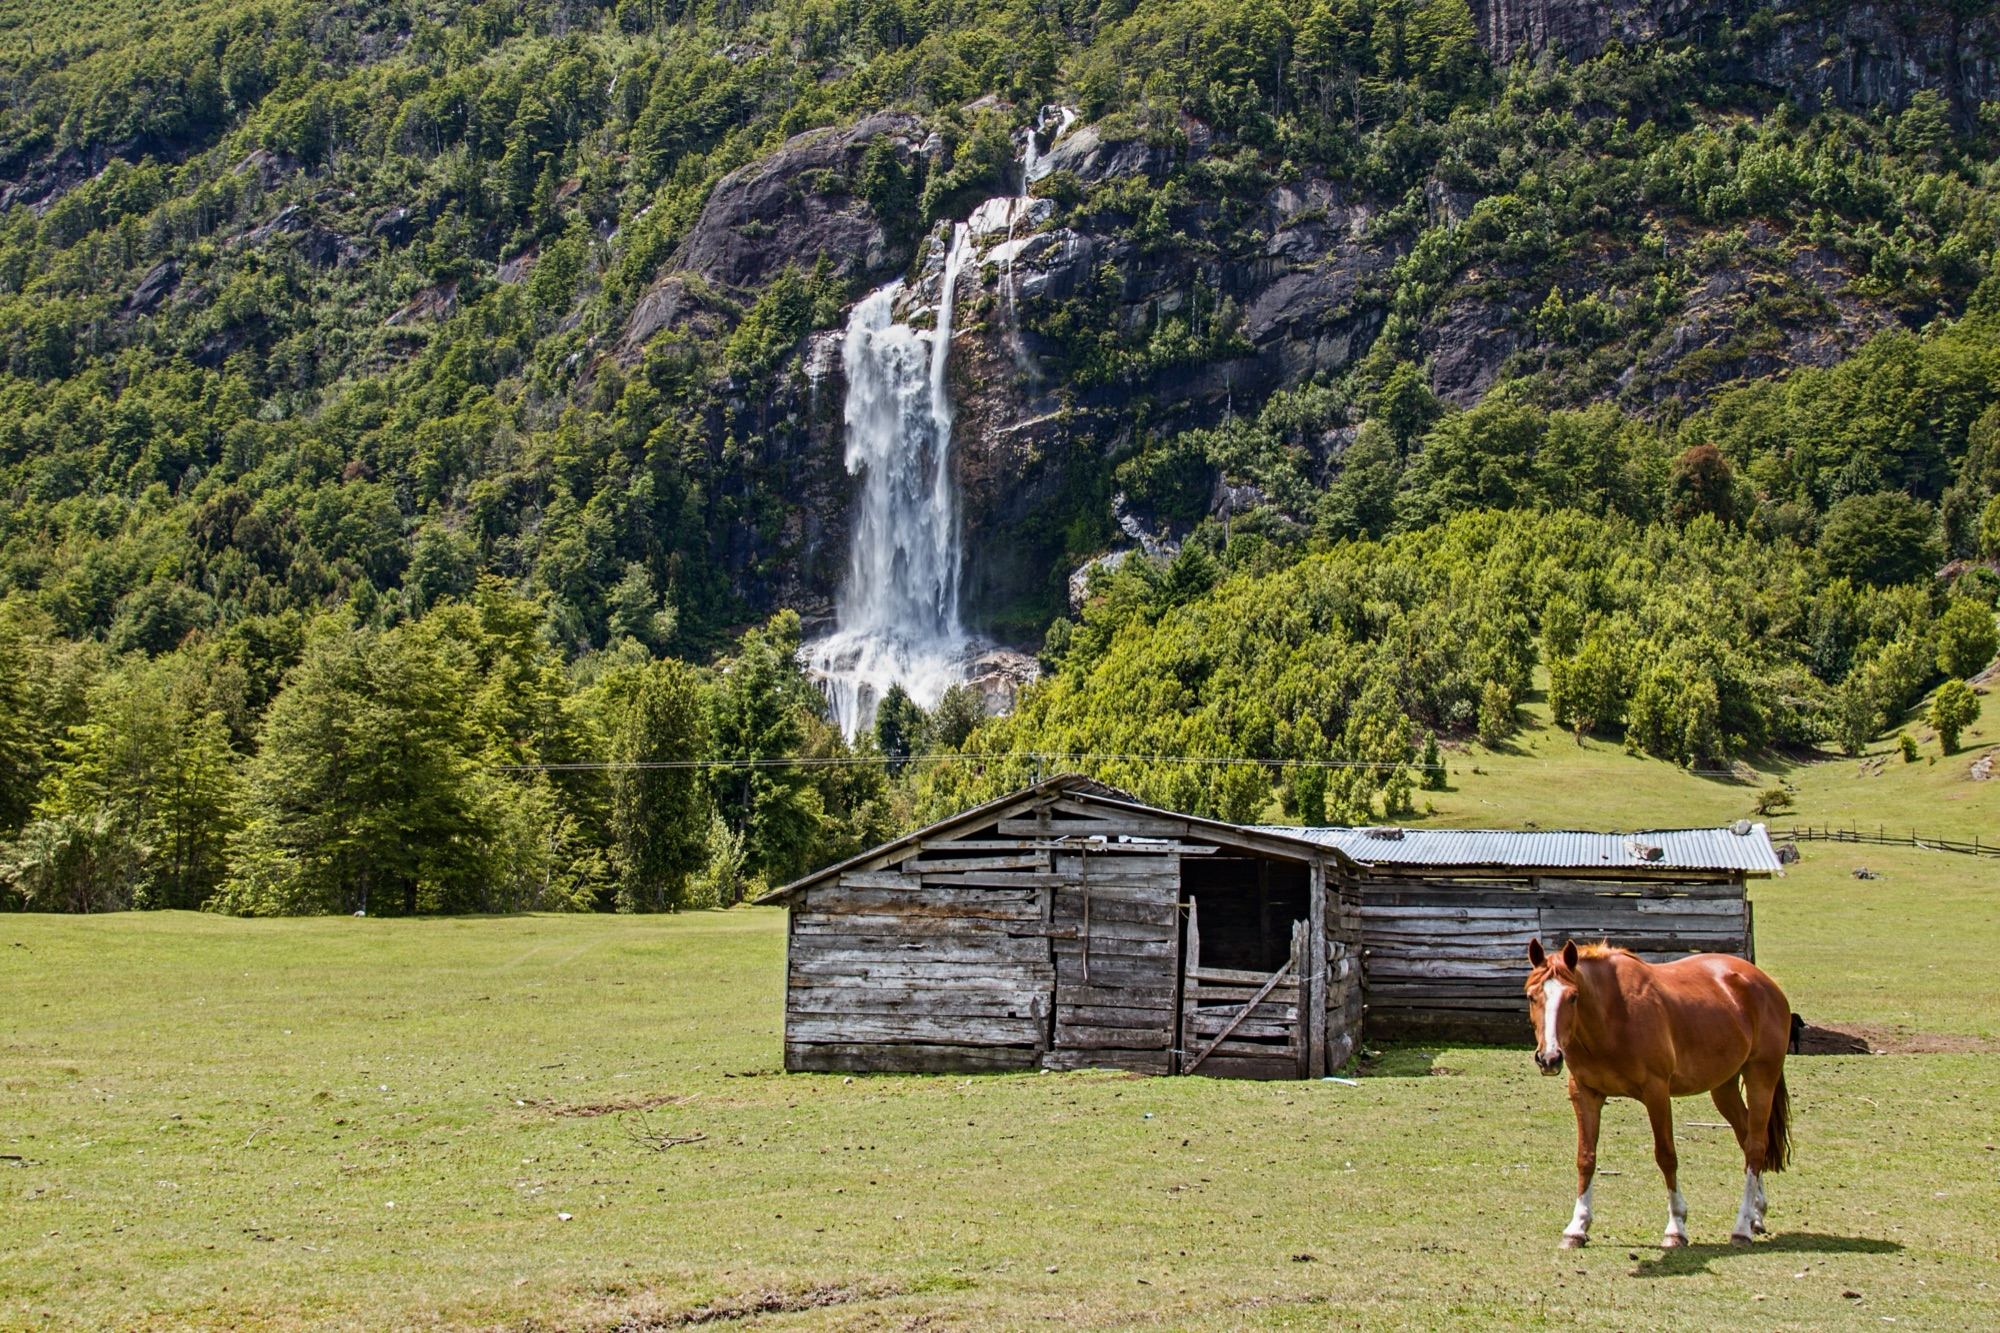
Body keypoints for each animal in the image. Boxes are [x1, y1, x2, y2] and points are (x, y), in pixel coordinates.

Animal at [1525, 938, 1794, 1250]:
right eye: (1531, 996)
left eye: (1573, 997)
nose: (1549, 1058)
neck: (1612, 1016)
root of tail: (1765, 983)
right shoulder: (1585, 1094)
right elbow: (1585, 1157)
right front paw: (1577, 1227)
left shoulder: (1656, 1092)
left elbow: (1666, 1156)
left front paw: (1676, 1228)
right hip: (1724, 1087)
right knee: (1747, 1138)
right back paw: (1756, 1215)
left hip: (1761, 1077)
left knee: (1755, 1147)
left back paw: (1741, 1228)